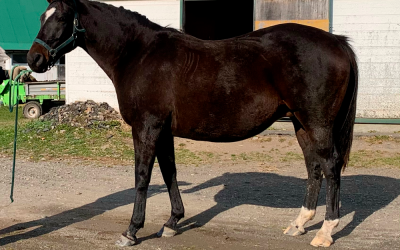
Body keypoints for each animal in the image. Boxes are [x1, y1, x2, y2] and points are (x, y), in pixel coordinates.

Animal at [28, 0, 360, 246]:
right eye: (42, 16)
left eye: (61, 18)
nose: (34, 59)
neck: (139, 54)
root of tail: (337, 42)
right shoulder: (163, 131)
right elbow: (169, 174)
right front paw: (173, 222)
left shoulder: (146, 128)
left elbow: (142, 177)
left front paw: (132, 230)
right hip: (300, 124)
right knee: (314, 167)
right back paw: (299, 224)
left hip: (317, 123)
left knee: (330, 166)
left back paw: (325, 231)